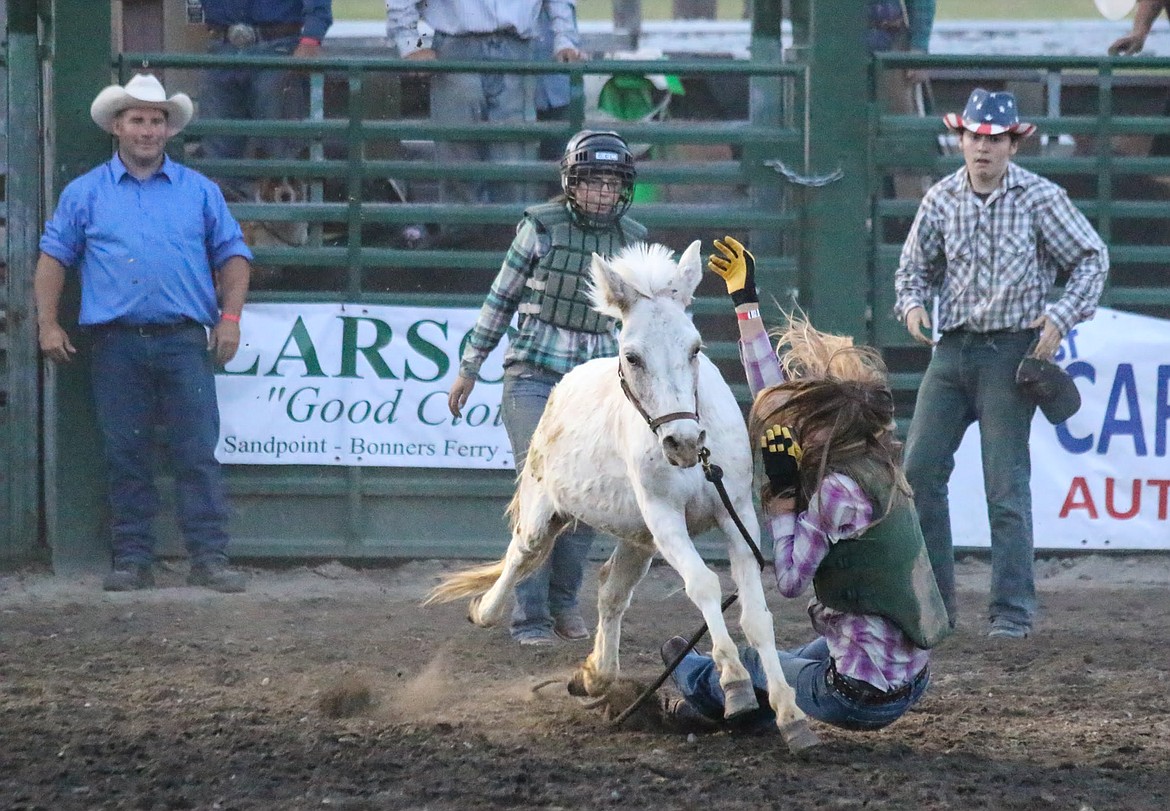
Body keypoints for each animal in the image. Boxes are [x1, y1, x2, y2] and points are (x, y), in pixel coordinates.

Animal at [425, 239, 819, 753]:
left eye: (695, 348)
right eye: (632, 357)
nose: (683, 442)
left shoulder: (737, 518)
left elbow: (756, 616)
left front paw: (791, 714)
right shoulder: (665, 518)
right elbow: (703, 585)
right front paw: (734, 684)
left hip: (638, 540)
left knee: (611, 590)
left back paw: (596, 674)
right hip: (547, 507)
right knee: (520, 557)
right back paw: (485, 610)